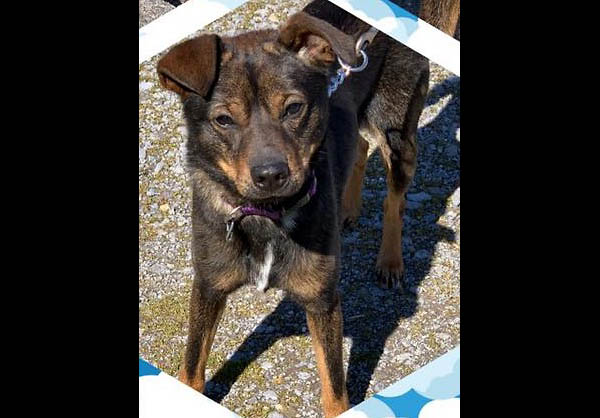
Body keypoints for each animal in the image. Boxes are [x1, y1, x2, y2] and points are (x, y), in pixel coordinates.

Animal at [156, 0, 459, 416]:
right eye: (223, 120)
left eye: (294, 108)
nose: (271, 174)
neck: (266, 214)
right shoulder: (209, 285)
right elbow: (191, 371)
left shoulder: (322, 301)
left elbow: (335, 391)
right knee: (359, 146)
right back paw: (347, 209)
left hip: (397, 132)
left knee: (393, 199)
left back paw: (390, 260)